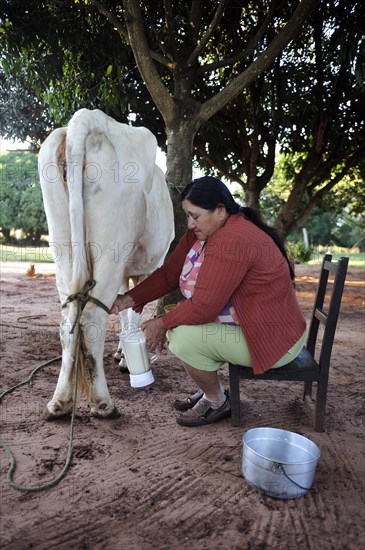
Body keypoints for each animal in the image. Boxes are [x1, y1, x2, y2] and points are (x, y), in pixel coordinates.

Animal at [38, 110, 173, 420]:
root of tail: (87, 119)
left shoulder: (128, 272)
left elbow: (124, 310)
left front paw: (122, 351)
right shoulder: (151, 266)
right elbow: (133, 310)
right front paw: (126, 357)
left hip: (63, 245)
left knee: (68, 321)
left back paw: (59, 402)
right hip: (112, 248)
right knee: (91, 319)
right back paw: (103, 403)